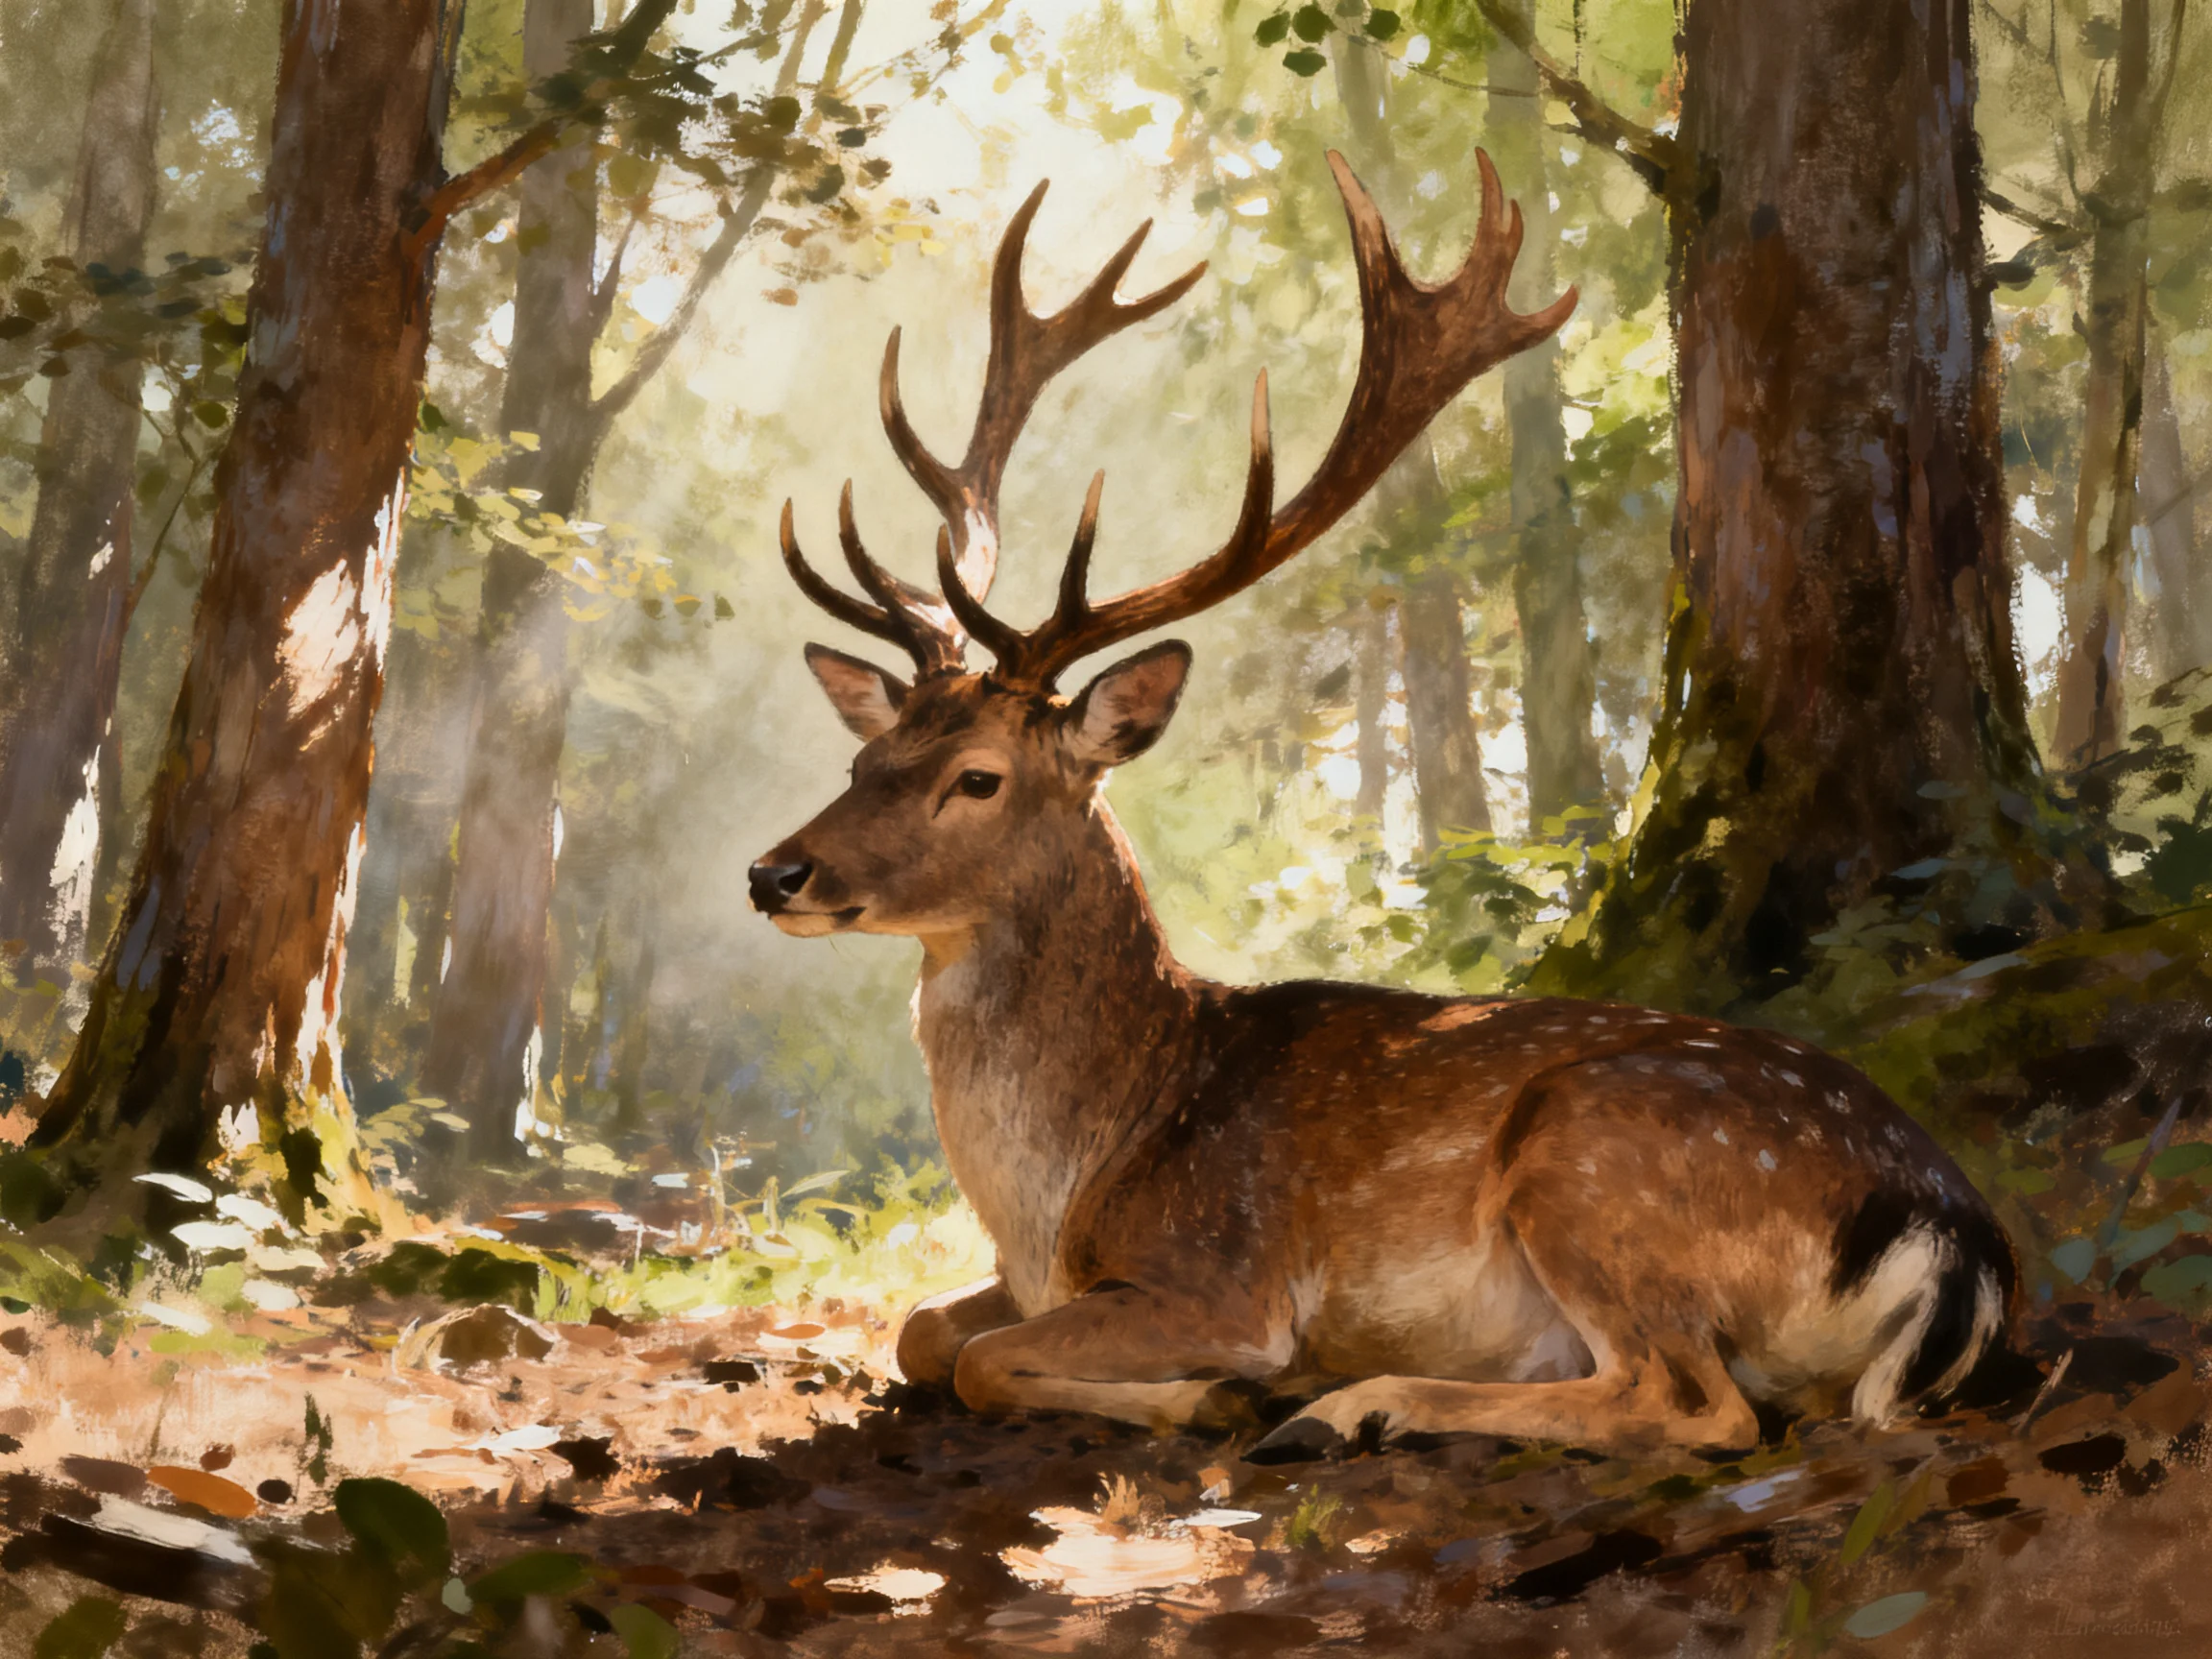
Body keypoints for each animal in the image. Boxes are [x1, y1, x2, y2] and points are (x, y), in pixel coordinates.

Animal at [748, 152, 2017, 1462]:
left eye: (978, 777)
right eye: (864, 758)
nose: (775, 873)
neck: (1072, 1187)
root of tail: (1954, 1233)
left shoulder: (1224, 1276)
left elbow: (985, 1361)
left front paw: (1221, 1393)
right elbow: (922, 1333)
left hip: (1591, 1156)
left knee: (1698, 1405)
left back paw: (1348, 1406)